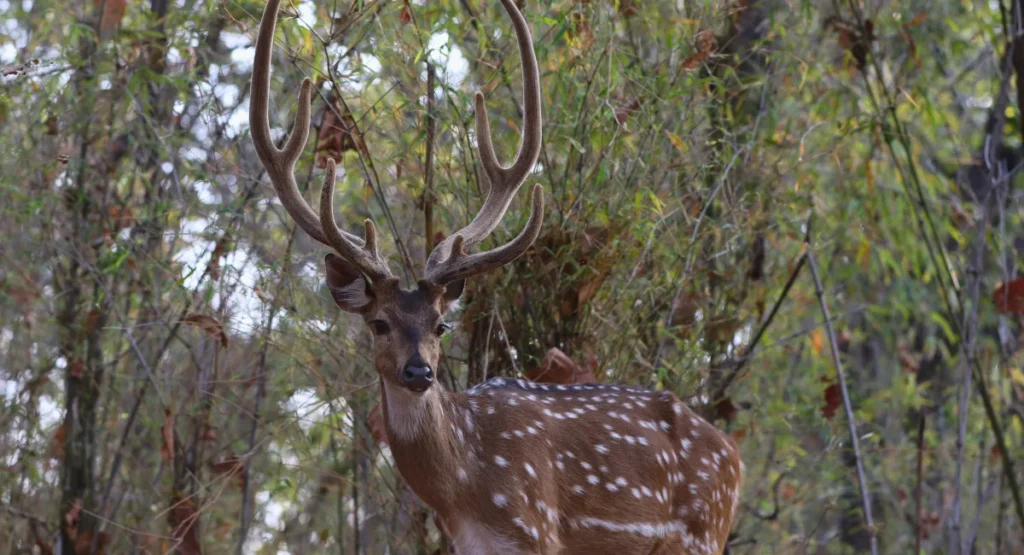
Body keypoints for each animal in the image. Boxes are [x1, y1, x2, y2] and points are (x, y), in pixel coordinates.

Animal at [249, 0, 743, 552]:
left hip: (702, 529)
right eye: (377, 323)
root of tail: (734, 455)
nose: (418, 372)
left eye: (442, 325)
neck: (464, 489)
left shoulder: (536, 528)